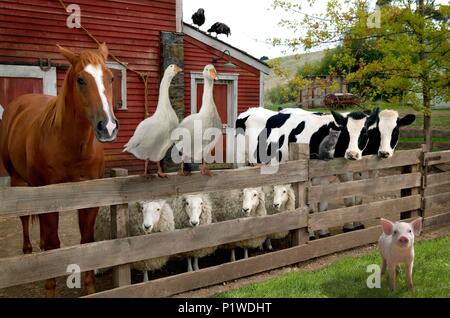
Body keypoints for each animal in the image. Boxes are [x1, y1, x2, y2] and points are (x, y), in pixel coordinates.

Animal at [0, 42, 118, 296]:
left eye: (111, 78)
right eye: (81, 80)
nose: (108, 127)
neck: (70, 145)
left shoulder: (90, 197)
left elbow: (86, 241)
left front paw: (90, 288)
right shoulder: (49, 196)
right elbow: (54, 245)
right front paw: (50, 288)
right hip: (18, 181)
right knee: (26, 220)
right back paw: (28, 251)